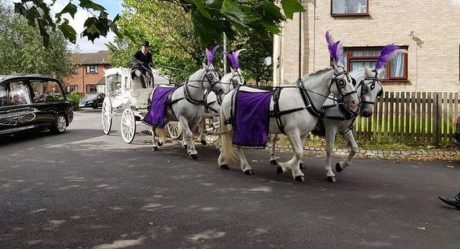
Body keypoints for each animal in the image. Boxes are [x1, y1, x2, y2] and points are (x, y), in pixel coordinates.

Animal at [218, 65, 360, 182]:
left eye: (352, 81)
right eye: (341, 82)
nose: (355, 102)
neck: (304, 99)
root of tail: (230, 93)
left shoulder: (303, 133)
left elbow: (298, 152)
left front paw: (296, 172)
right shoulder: (294, 131)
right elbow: (299, 152)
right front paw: (284, 167)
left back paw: (223, 160)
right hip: (235, 126)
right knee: (236, 145)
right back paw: (246, 167)